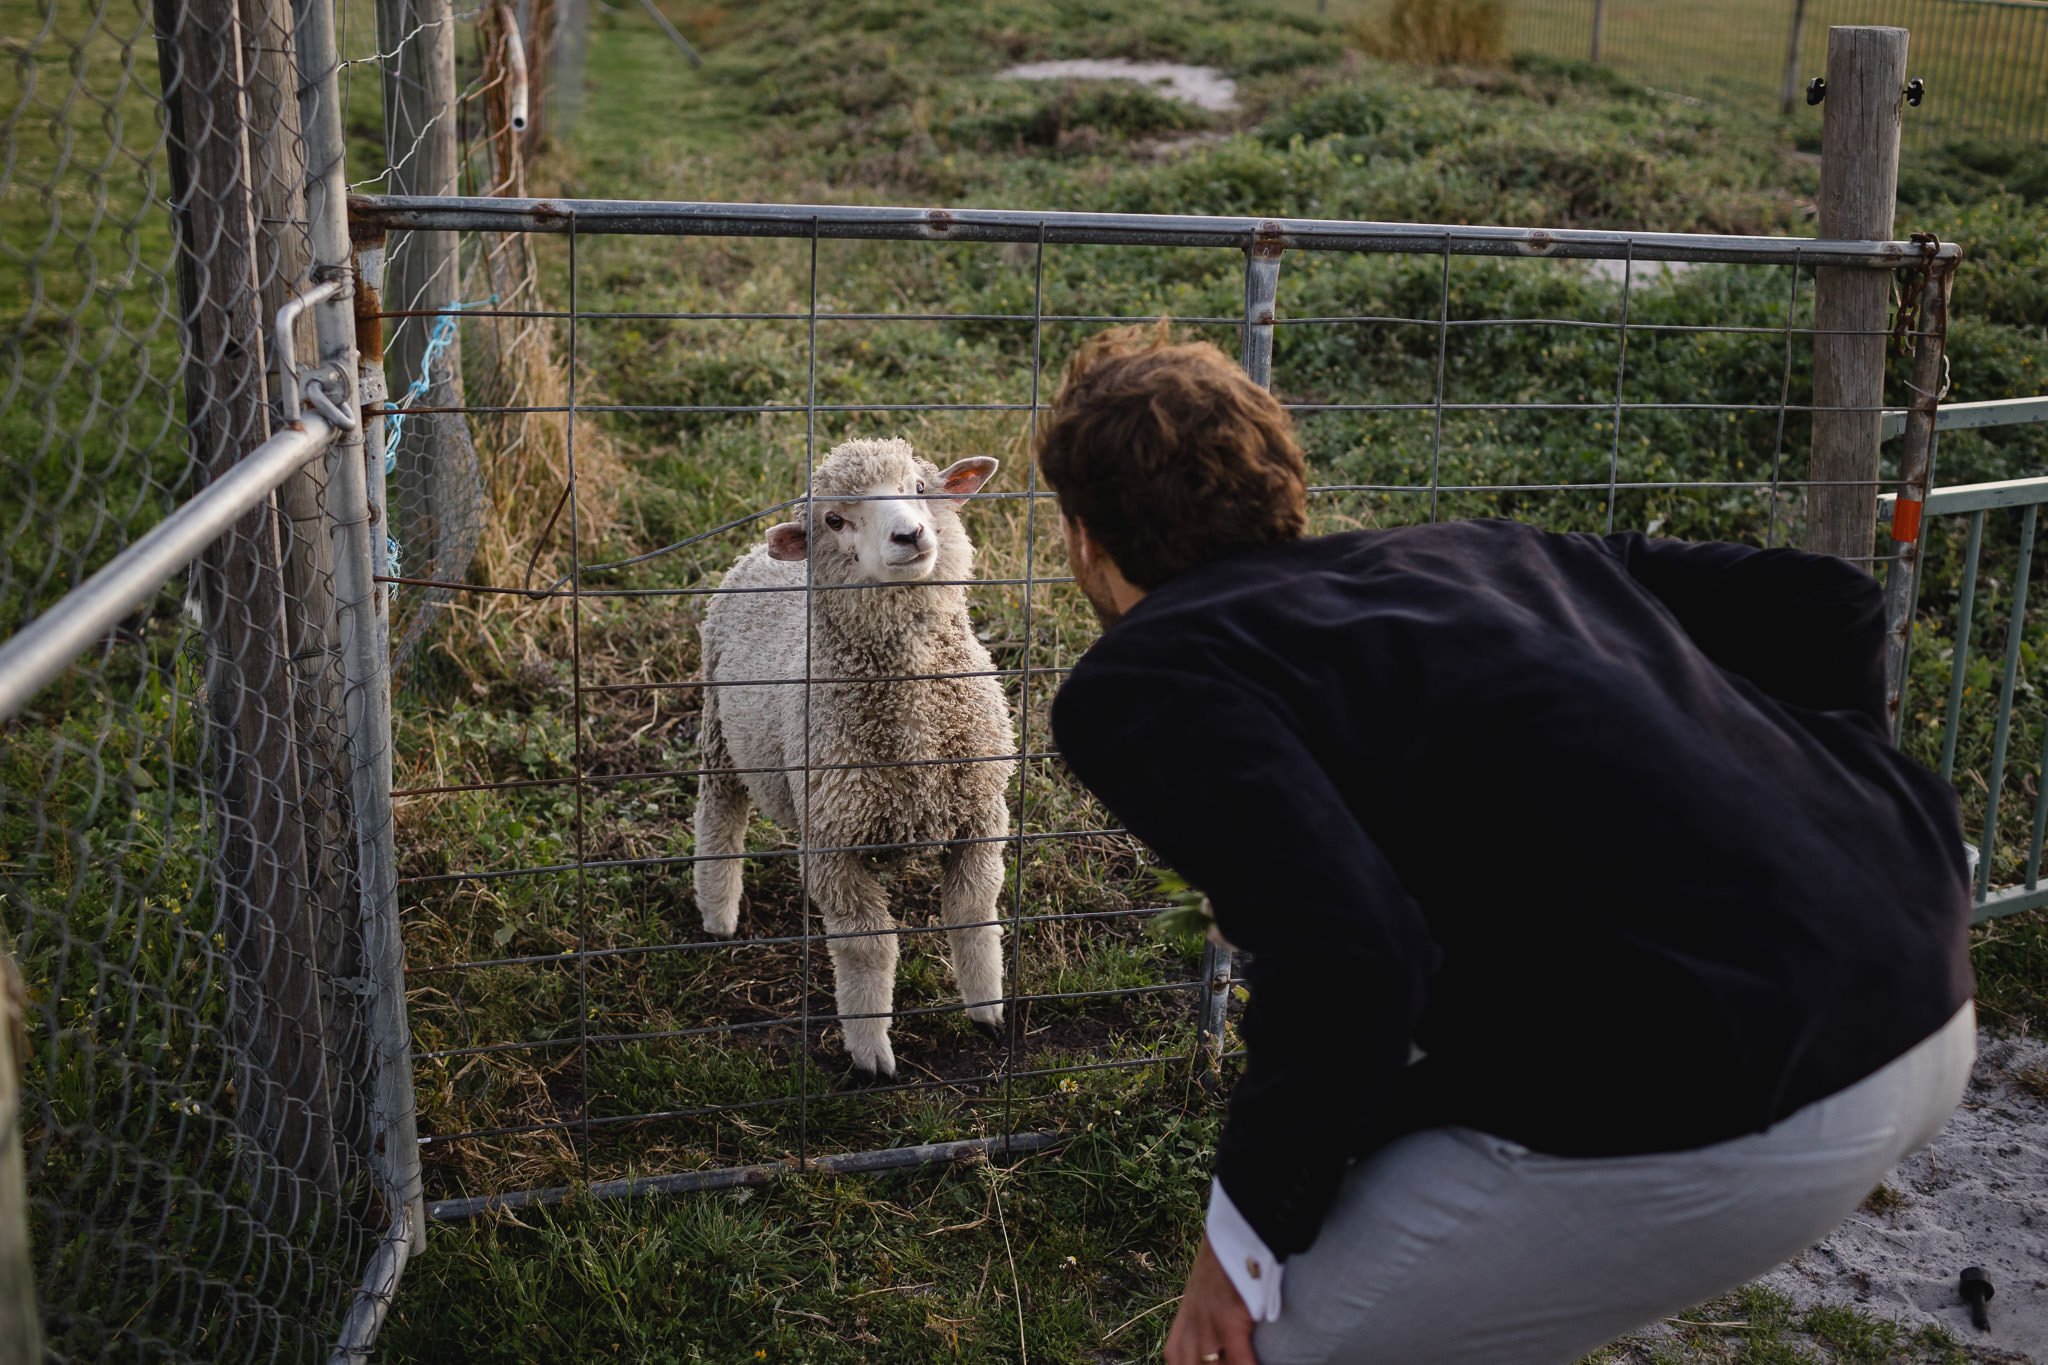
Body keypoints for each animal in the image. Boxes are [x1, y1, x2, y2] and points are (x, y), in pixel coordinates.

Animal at [696, 437, 1015, 1080]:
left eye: (919, 487)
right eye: (835, 521)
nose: (910, 535)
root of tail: (758, 553)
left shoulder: (981, 814)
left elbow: (973, 910)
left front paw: (987, 1011)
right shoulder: (833, 843)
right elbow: (867, 945)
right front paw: (871, 1054)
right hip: (717, 728)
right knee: (719, 816)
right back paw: (718, 915)